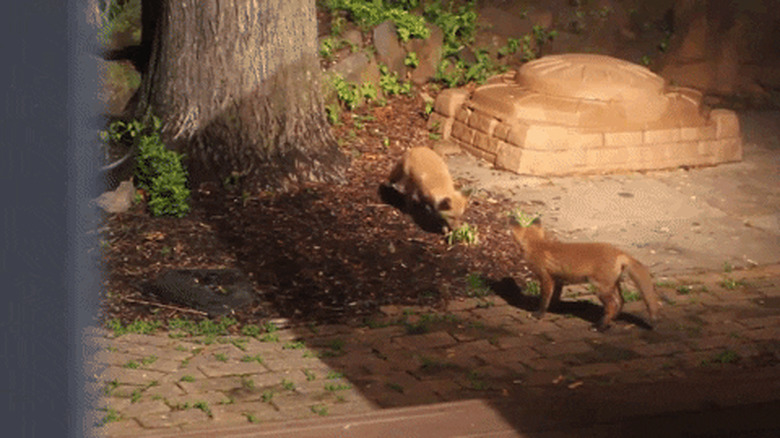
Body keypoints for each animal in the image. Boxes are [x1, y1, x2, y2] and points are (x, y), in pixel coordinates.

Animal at [508, 221, 660, 330]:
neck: (538, 245)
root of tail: (619, 251)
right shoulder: (558, 280)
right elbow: (555, 298)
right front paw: (555, 308)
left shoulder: (546, 278)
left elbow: (544, 300)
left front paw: (539, 315)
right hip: (612, 285)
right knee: (621, 302)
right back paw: (611, 320)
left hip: (601, 289)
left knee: (612, 305)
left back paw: (600, 326)